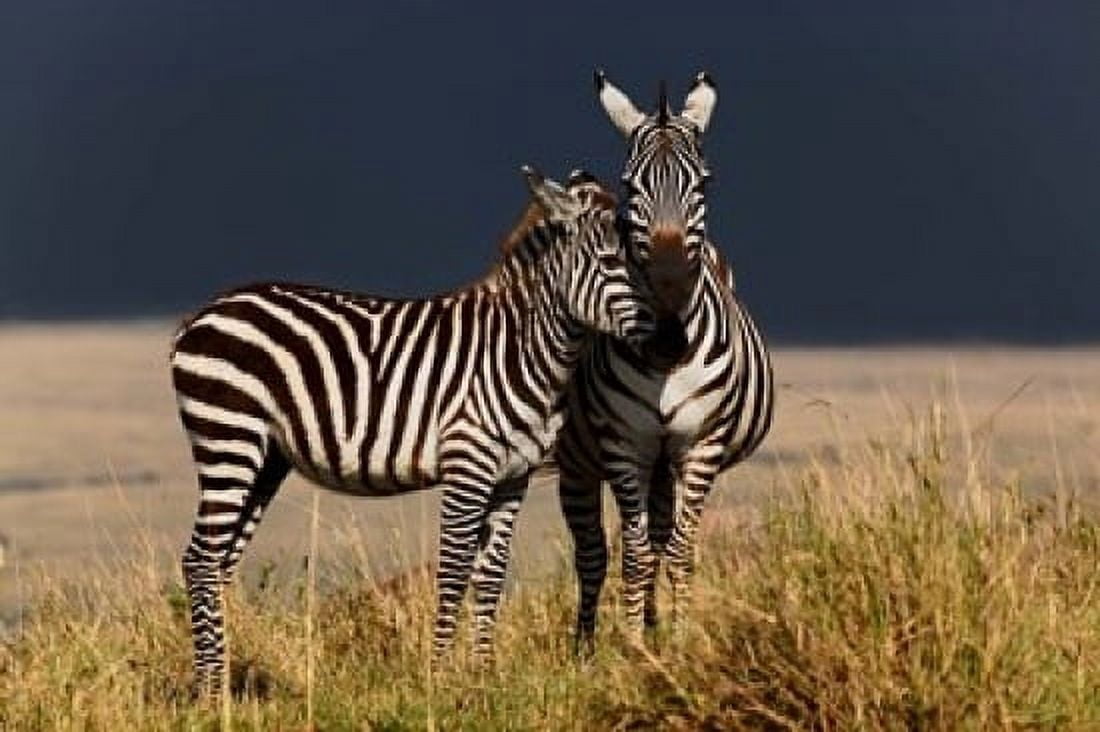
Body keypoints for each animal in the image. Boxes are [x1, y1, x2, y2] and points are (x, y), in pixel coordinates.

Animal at [169, 166, 657, 695]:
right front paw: (440, 677)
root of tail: (200, 315)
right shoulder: (468, 464)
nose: (666, 335)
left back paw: (220, 685)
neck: (521, 350)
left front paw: (483, 676)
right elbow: (455, 569)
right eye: (611, 260)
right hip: (229, 438)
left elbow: (491, 574)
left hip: (264, 459)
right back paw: (211, 692)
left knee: (219, 561)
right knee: (199, 560)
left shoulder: (513, 476)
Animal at [552, 71, 775, 647]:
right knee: (593, 553)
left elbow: (677, 548)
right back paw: (586, 646)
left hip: (664, 459)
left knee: (657, 536)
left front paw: (677, 640)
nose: (672, 312)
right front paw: (633, 646)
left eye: (704, 184)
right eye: (632, 186)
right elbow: (632, 555)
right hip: (582, 462)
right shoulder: (623, 444)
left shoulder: (701, 444)